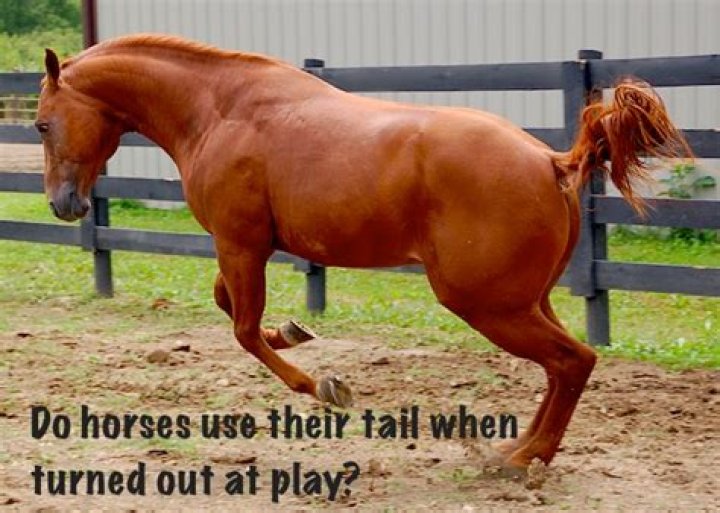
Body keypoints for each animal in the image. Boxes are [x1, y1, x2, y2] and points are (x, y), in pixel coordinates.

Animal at [36, 34, 689, 471]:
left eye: (41, 124)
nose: (63, 204)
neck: (221, 110)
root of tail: (551, 161)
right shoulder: (245, 247)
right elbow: (233, 308)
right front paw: (294, 331)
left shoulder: (239, 243)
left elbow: (243, 329)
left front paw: (324, 387)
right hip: (524, 300)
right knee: (560, 367)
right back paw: (518, 447)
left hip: (488, 305)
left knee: (573, 361)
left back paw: (525, 458)